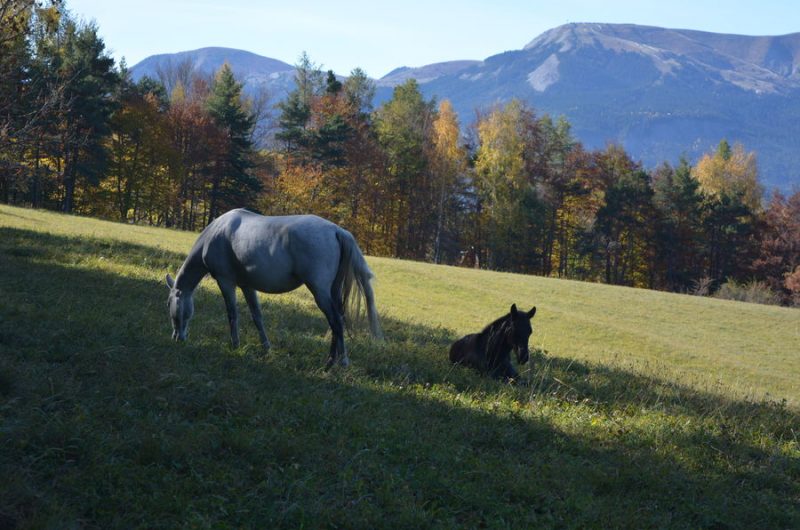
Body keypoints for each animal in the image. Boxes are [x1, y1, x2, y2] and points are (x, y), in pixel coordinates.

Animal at [164, 207, 382, 368]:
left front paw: (235, 345)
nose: (177, 337)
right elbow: (257, 317)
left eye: (169, 304)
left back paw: (334, 363)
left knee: (336, 321)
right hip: (333, 291)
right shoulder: (247, 285)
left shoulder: (226, 281)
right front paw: (266, 348)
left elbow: (232, 314)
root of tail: (336, 230)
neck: (216, 233)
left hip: (320, 292)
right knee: (339, 320)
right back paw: (334, 361)